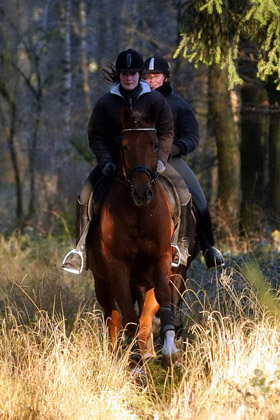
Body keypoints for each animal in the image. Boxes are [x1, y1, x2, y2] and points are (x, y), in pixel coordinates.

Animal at [86, 105, 180, 368]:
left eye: (155, 145)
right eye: (125, 146)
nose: (141, 191)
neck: (138, 212)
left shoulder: (161, 259)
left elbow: (160, 301)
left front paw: (168, 349)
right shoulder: (116, 266)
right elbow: (127, 315)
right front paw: (134, 360)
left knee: (144, 315)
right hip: (101, 280)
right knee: (113, 316)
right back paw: (119, 355)